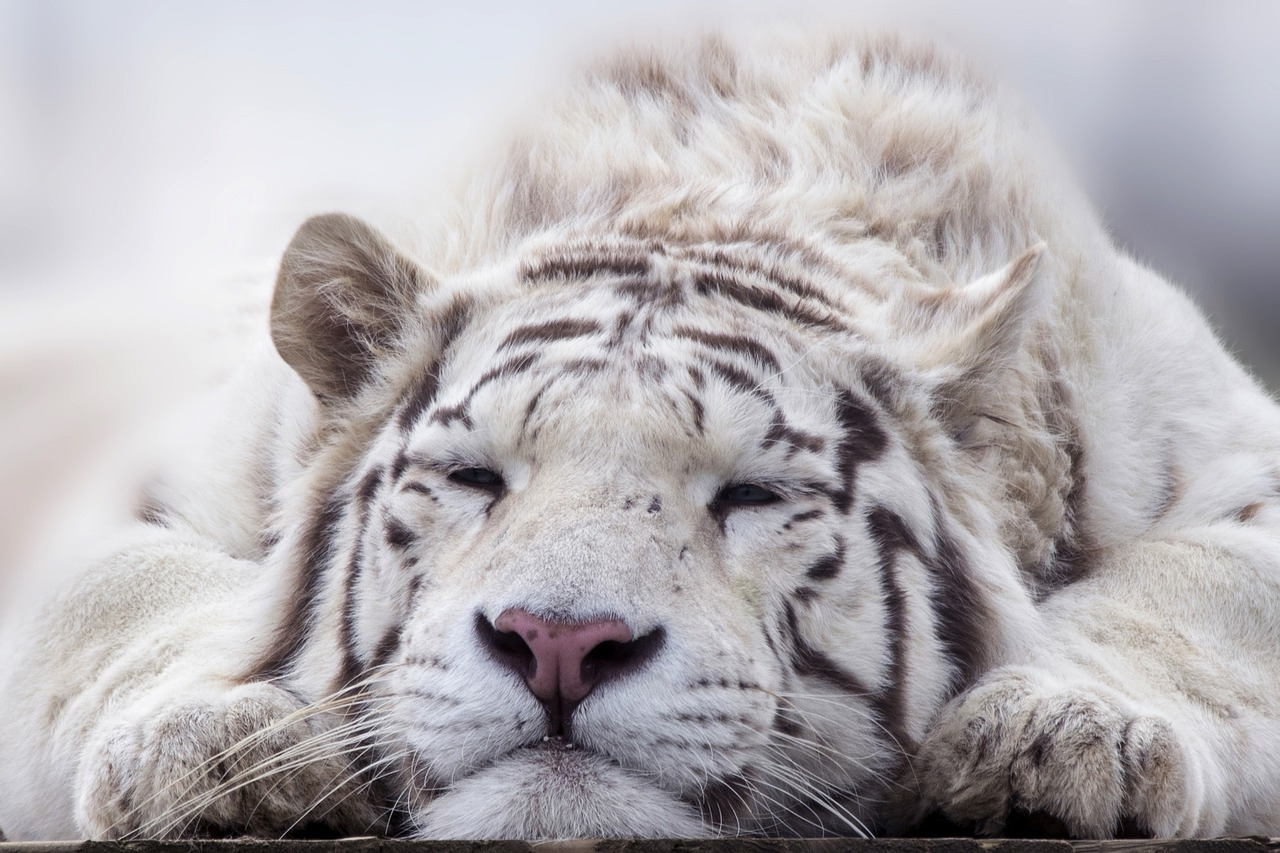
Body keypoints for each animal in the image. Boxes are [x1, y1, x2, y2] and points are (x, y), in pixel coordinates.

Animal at [2, 29, 1280, 842]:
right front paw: (216, 745)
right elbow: (124, 600)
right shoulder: (133, 492)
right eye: (474, 478)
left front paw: (1060, 733)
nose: (557, 644)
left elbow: (1180, 598)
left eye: (751, 495)